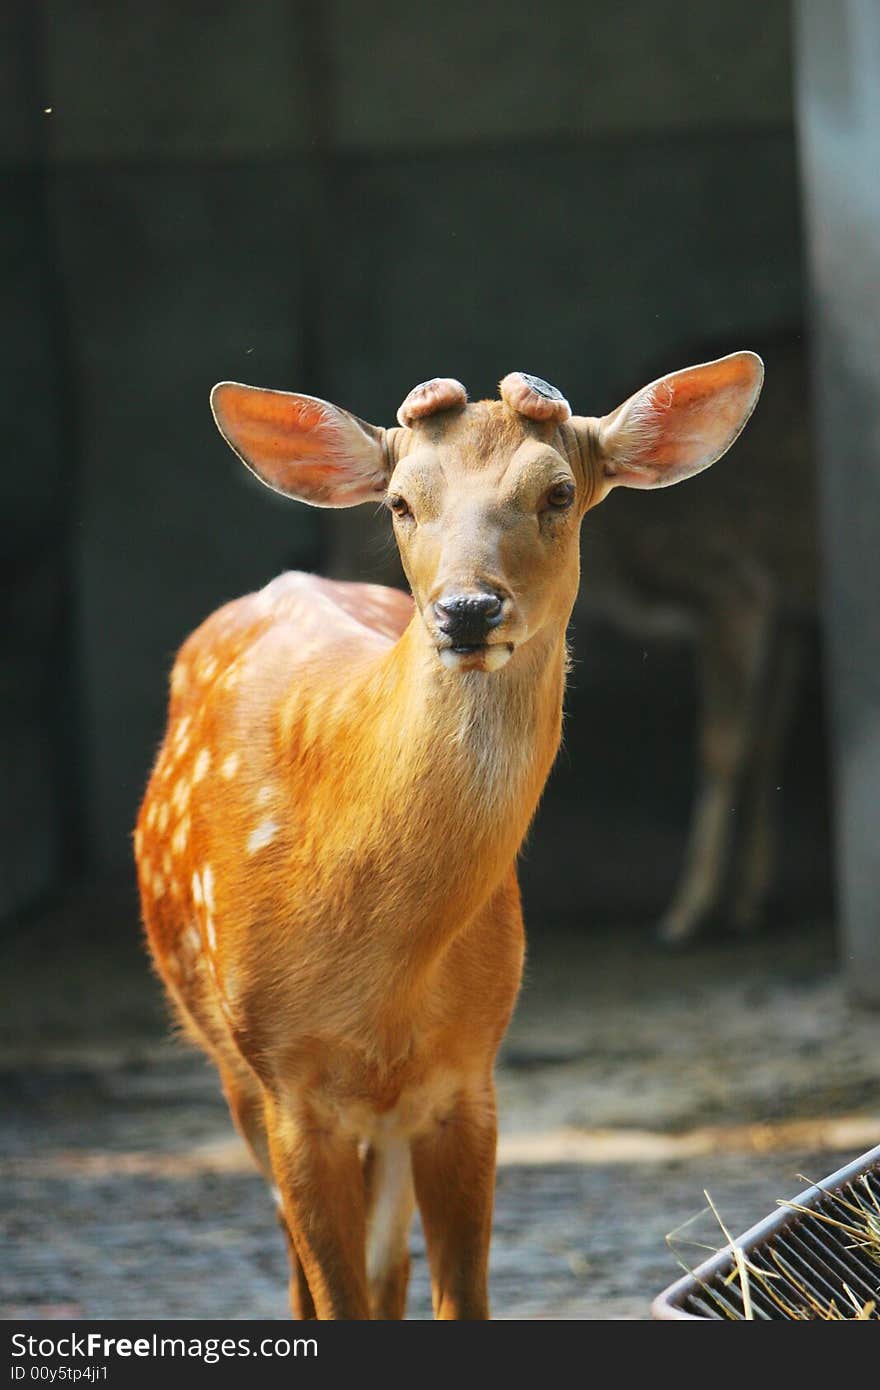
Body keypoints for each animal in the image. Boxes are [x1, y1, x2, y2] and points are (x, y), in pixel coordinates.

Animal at [135, 353, 761, 1317]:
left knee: (389, 1263)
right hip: (227, 1063)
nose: (467, 609)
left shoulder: (470, 1076)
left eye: (558, 492)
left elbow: (455, 1294)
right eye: (400, 501)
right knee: (305, 1265)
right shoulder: (286, 1084)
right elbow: (334, 1296)